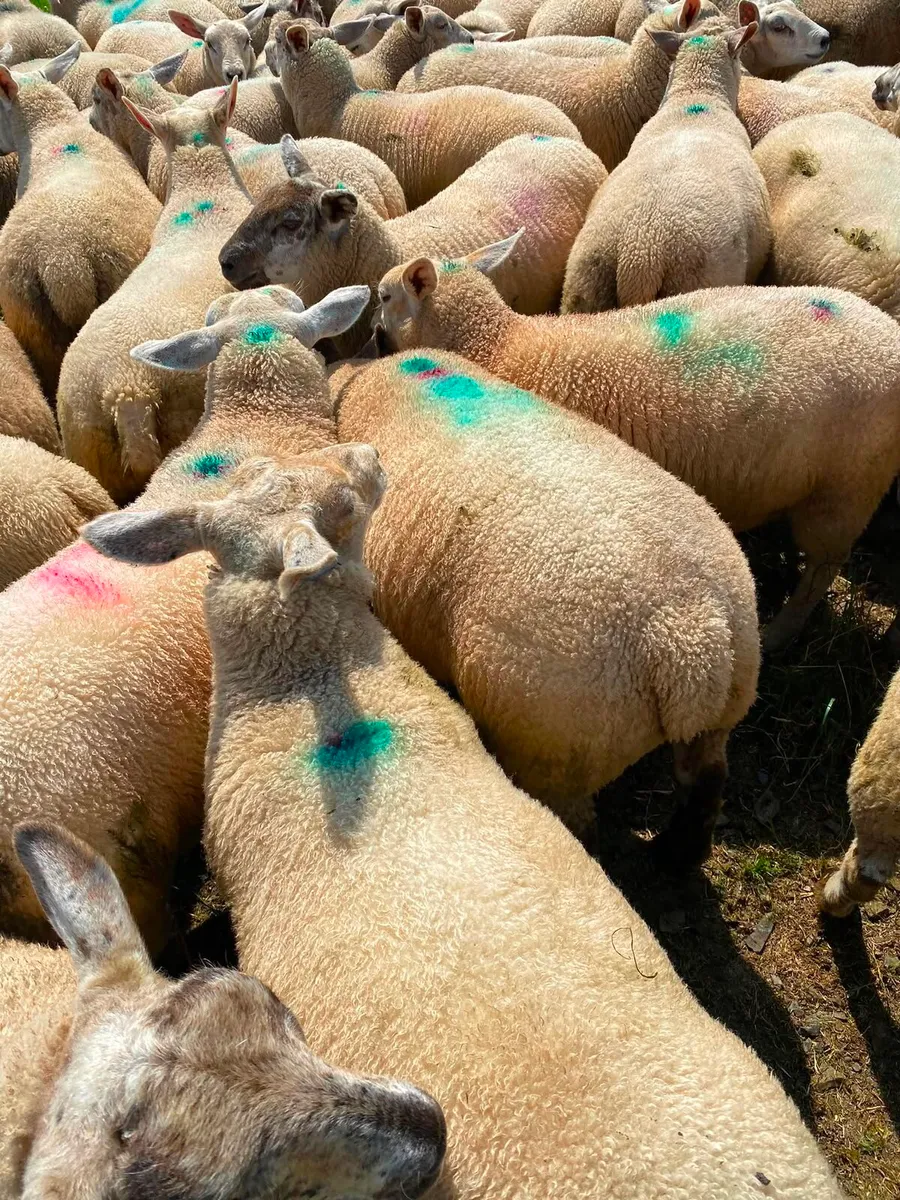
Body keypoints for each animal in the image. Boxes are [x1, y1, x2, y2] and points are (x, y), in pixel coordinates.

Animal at [376, 239, 900, 649]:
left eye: (383, 296)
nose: (371, 336)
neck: (499, 345)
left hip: (847, 487)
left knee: (823, 567)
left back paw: (780, 633)